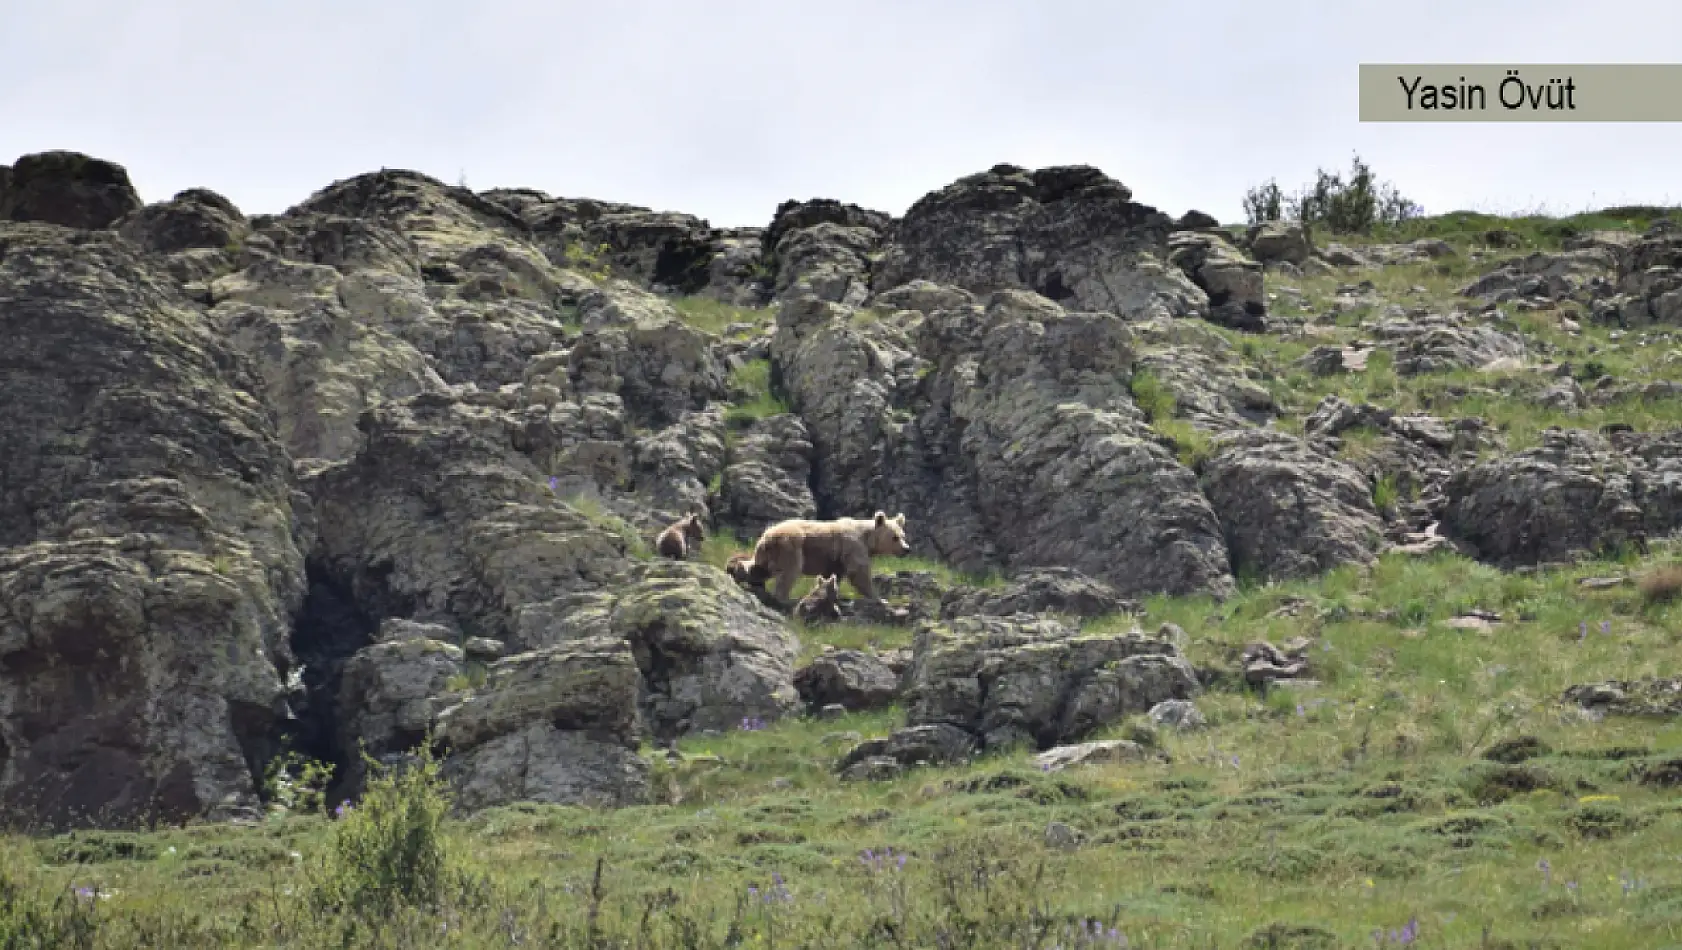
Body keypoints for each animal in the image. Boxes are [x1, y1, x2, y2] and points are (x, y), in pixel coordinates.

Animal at [746, 511, 908, 608]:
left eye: (903, 535)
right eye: (895, 537)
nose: (906, 549)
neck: (867, 539)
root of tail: (766, 537)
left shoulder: (836, 559)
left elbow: (833, 575)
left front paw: (833, 594)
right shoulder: (853, 546)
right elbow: (859, 572)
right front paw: (880, 599)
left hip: (765, 555)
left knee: (758, 569)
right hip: (790, 547)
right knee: (789, 573)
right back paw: (786, 600)